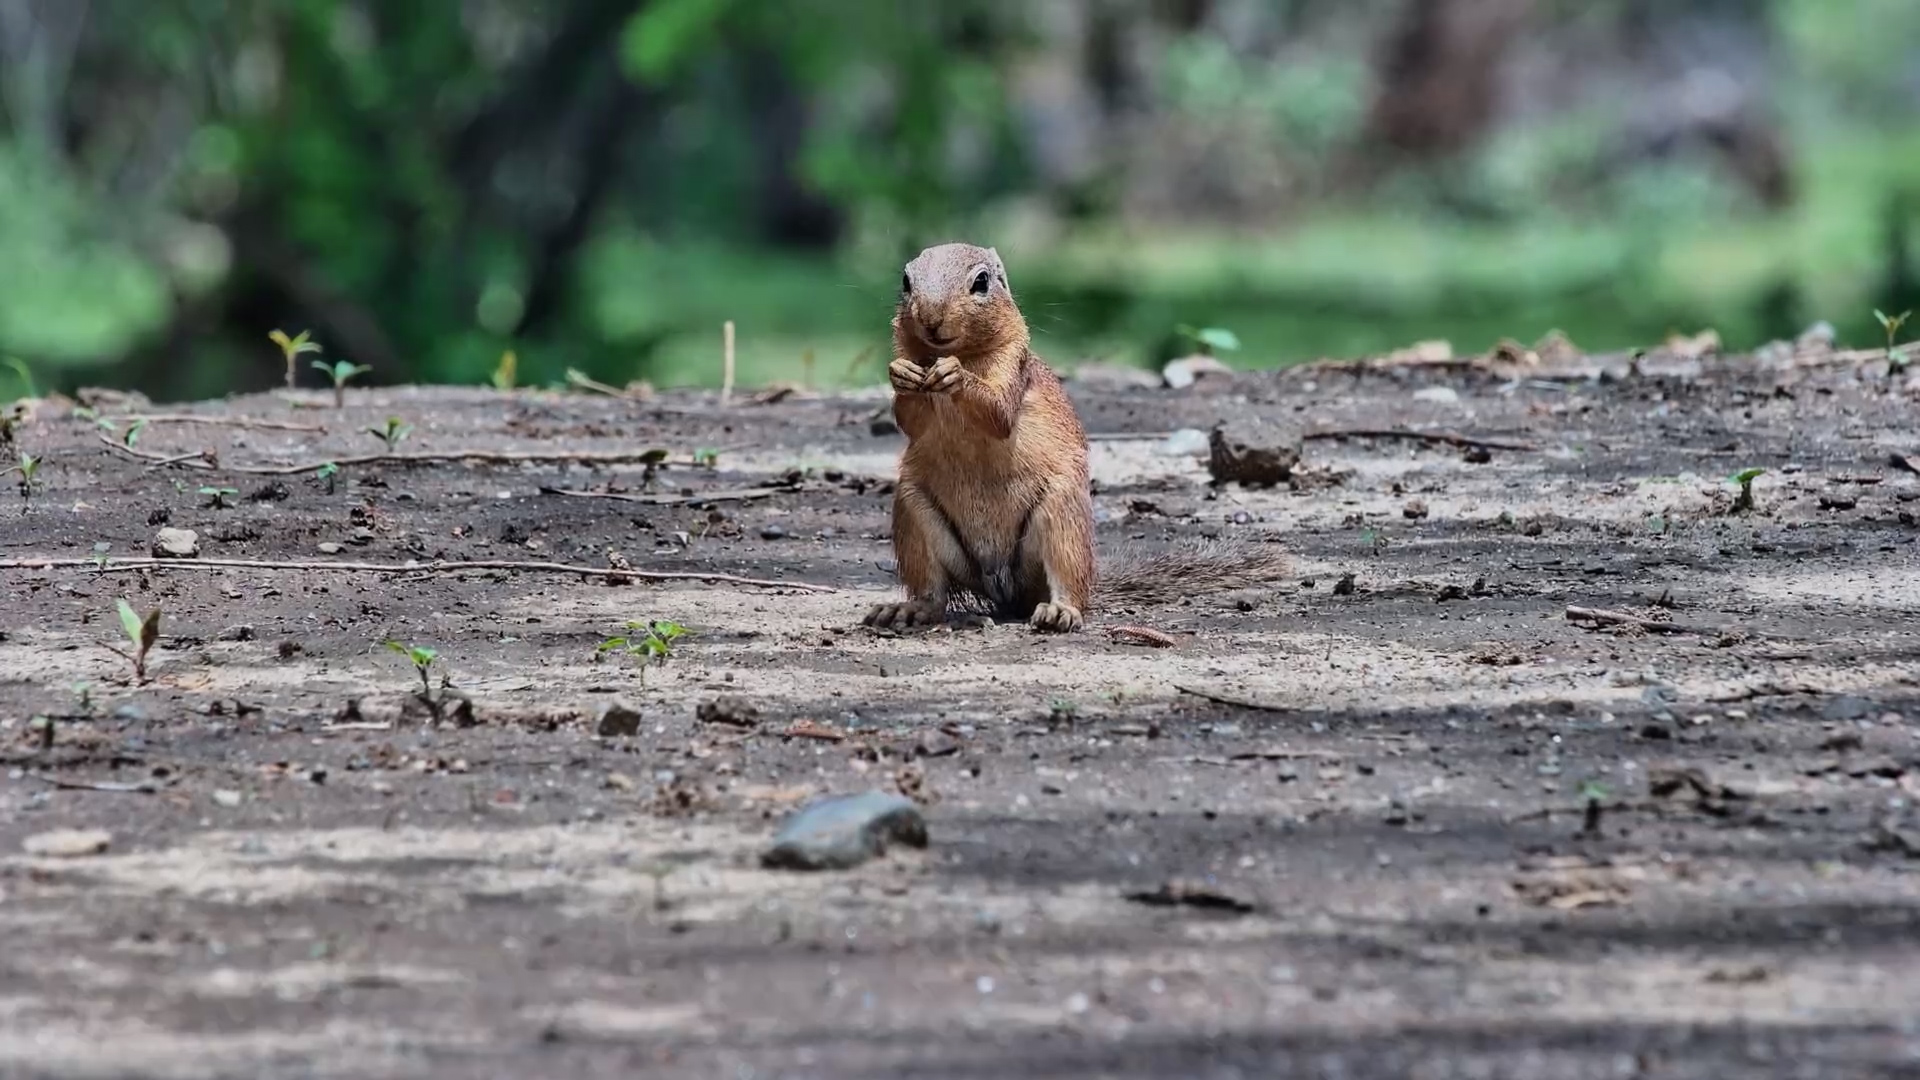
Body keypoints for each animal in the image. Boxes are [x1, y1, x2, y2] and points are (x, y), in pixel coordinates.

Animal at [863, 242, 1291, 633]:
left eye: (981, 282)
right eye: (906, 281)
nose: (931, 319)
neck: (959, 352)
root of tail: (1003, 587)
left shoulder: (1012, 367)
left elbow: (998, 412)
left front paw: (955, 375)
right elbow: (911, 421)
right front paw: (902, 374)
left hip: (1062, 518)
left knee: (1067, 583)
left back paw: (1060, 612)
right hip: (914, 516)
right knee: (932, 594)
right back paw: (907, 610)